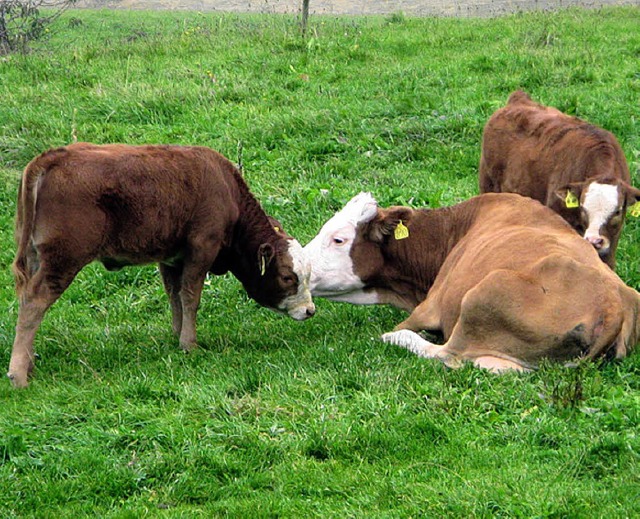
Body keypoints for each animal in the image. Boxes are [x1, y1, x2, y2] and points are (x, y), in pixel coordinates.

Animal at [9, 144, 316, 388]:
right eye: (288, 277)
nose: (310, 310)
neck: (226, 191)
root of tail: (52, 157)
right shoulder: (201, 248)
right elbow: (191, 297)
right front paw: (190, 344)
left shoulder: (171, 258)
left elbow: (175, 297)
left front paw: (177, 335)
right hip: (62, 260)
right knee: (34, 303)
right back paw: (19, 375)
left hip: (37, 258)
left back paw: (29, 363)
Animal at [302, 193, 640, 372]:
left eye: (338, 239)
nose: (300, 267)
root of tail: (611, 303)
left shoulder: (430, 306)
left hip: (483, 296)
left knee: (450, 355)